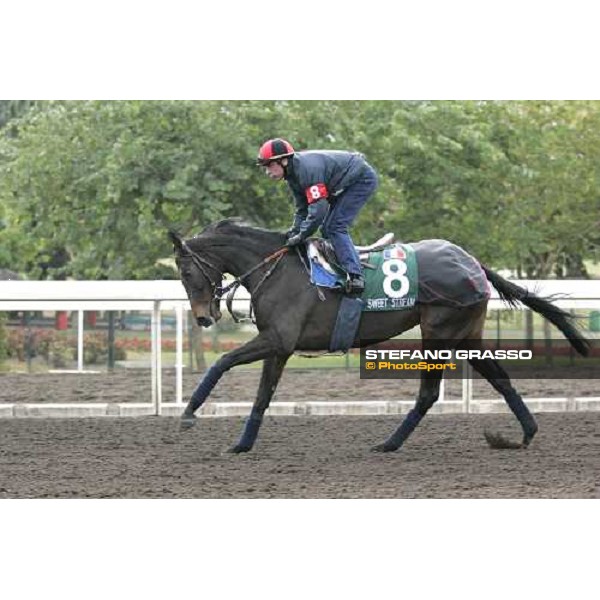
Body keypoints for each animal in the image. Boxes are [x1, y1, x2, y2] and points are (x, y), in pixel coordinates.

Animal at [169, 220, 592, 454]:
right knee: (501, 380)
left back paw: (389, 443)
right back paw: (525, 434)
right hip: (466, 334)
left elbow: (223, 362)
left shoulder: (278, 339)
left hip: (439, 332)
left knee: (428, 394)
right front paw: (242, 444)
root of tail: (472, 261)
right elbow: (261, 397)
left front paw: (189, 413)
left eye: (187, 273)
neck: (278, 269)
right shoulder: (279, 346)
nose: (204, 317)